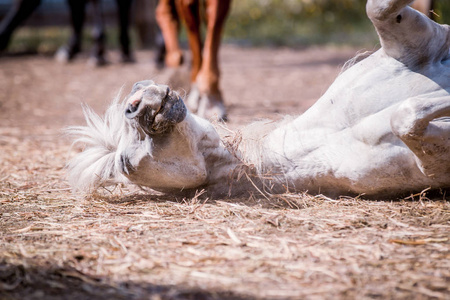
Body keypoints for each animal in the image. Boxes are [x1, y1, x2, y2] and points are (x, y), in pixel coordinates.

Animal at [67, 0, 450, 199]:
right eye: (125, 163)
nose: (135, 105)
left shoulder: (418, 43)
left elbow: (378, 9)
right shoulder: (428, 165)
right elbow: (406, 117)